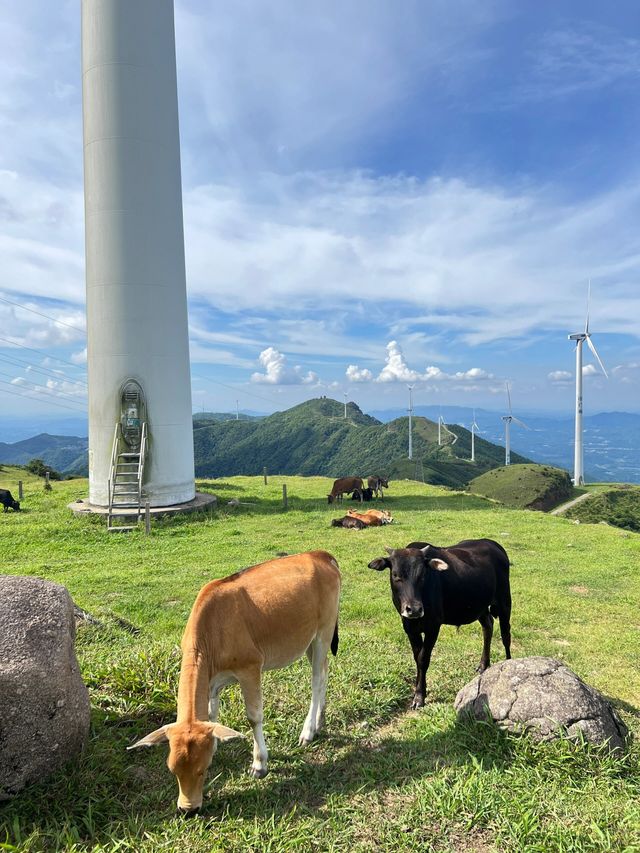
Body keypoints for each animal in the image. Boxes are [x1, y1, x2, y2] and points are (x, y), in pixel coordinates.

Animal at [127, 552, 342, 812]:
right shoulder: (212, 682)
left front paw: (259, 764)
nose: (188, 809)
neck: (212, 632)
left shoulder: (250, 668)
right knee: (325, 672)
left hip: (323, 632)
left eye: (203, 770)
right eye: (173, 770)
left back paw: (308, 730)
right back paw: (319, 722)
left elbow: (254, 717)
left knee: (316, 681)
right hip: (309, 640)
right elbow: (211, 715)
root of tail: (319, 554)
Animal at [368, 536, 512, 708]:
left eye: (422, 575)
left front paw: (419, 696)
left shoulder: (433, 626)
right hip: (481, 607)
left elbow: (423, 659)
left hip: (504, 602)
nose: (414, 609)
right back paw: (483, 665)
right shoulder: (409, 627)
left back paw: (509, 664)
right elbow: (417, 657)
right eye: (396, 575)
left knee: (506, 635)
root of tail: (494, 545)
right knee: (488, 627)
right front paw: (418, 689)